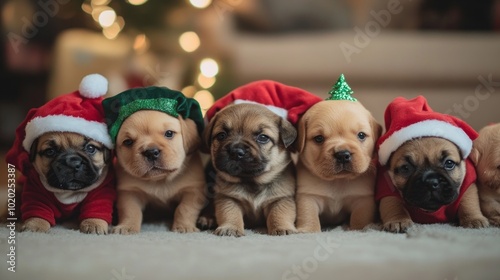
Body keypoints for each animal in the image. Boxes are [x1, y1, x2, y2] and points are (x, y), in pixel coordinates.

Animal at [102, 87, 206, 234]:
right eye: (128, 142)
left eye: (169, 133)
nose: (151, 152)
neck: (159, 181)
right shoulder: (129, 192)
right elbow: (130, 211)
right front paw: (127, 226)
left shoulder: (193, 190)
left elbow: (184, 209)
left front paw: (183, 227)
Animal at [205, 104, 298, 237]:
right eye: (221, 135)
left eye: (263, 137)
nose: (236, 152)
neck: (251, 181)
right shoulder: (228, 198)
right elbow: (230, 213)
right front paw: (230, 228)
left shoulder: (280, 199)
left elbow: (280, 214)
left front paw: (283, 228)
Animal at [294, 100, 380, 232]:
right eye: (319, 138)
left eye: (361, 135)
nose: (343, 155)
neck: (338, 181)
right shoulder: (308, 197)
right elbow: (308, 216)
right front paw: (309, 230)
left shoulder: (363, 199)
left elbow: (360, 219)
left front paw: (359, 229)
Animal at [376, 95, 488, 232]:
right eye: (406, 168)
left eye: (449, 163)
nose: (431, 182)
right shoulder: (386, 188)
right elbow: (393, 204)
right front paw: (398, 220)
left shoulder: (468, 183)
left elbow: (469, 201)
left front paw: (473, 219)